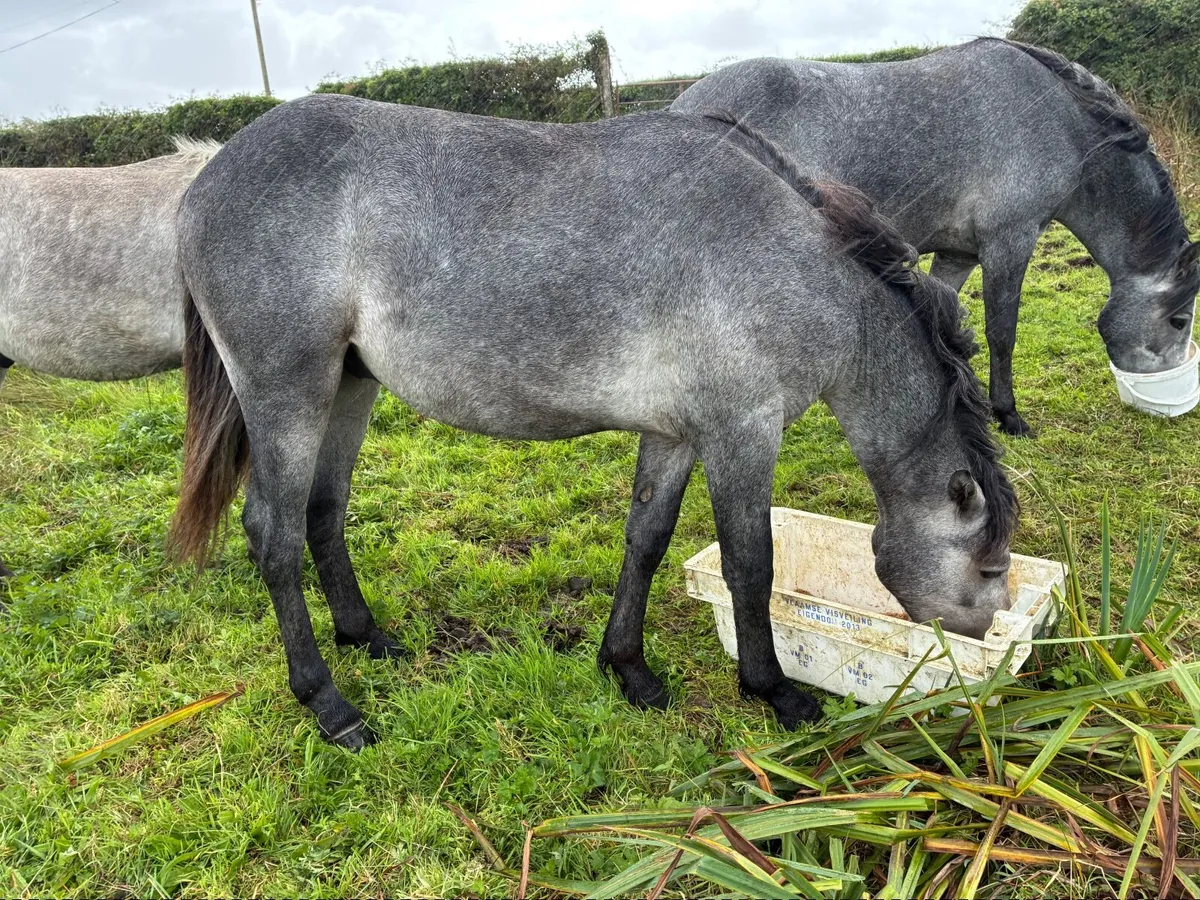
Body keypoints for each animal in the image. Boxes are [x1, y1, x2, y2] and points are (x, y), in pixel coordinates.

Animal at [167, 94, 1019, 749]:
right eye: (985, 570)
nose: (982, 646)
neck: (801, 268)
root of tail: (204, 181)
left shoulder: (677, 435)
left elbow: (646, 540)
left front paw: (628, 668)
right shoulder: (742, 434)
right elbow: (751, 566)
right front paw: (773, 690)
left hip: (348, 386)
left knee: (324, 511)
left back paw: (365, 637)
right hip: (287, 391)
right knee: (273, 536)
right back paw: (329, 704)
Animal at [672, 39, 1200, 436]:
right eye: (1178, 321)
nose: (1169, 401)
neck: (1060, 121)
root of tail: (681, 106)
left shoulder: (958, 253)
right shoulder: (1009, 243)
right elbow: (1001, 333)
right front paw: (1008, 416)